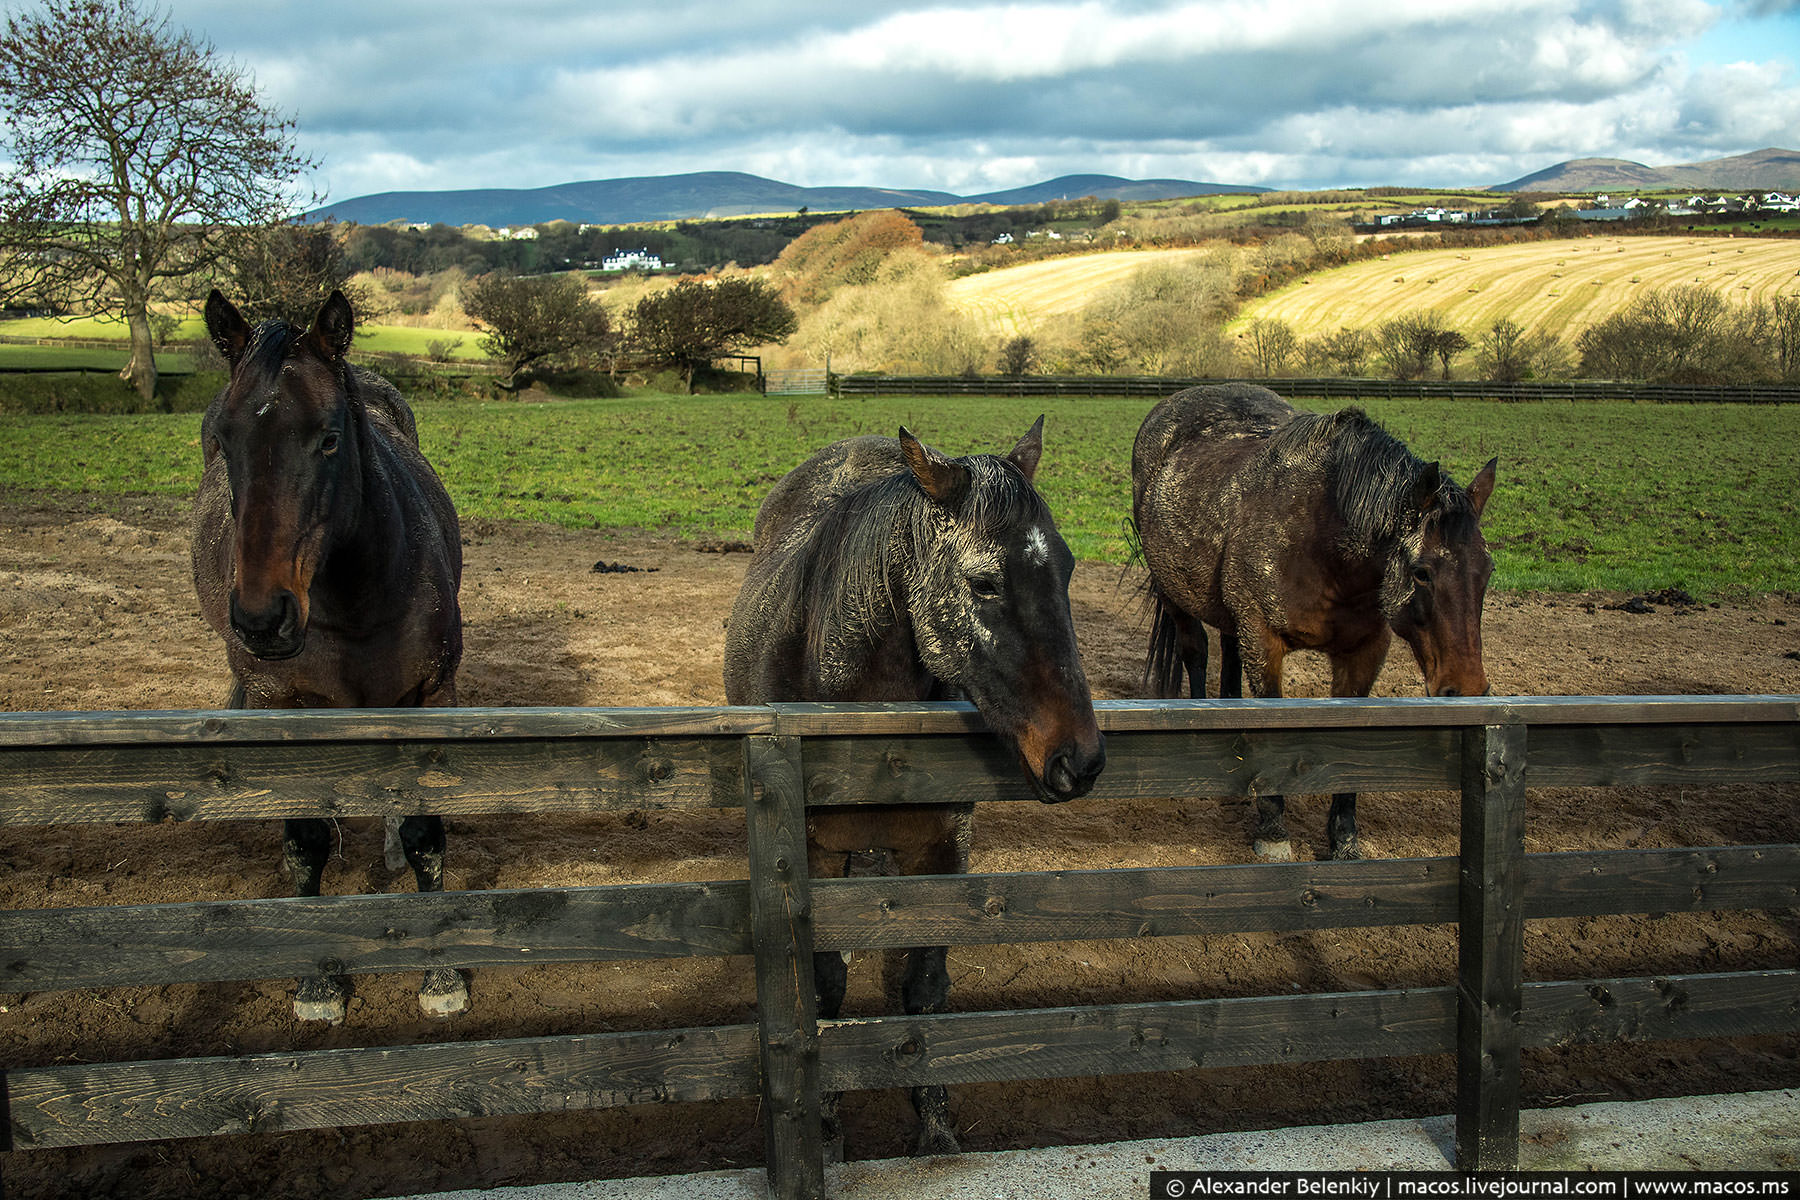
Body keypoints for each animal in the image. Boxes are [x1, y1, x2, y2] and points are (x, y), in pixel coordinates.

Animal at [190, 287, 468, 1021]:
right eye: (223, 439)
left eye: (329, 438)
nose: (262, 617)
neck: (354, 603)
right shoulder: (281, 708)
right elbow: (305, 836)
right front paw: (316, 986)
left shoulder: (430, 696)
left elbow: (426, 828)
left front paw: (442, 977)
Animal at [723, 417, 1101, 1158]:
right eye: (984, 584)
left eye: (1068, 569)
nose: (1081, 760)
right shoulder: (811, 852)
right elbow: (824, 990)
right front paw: (828, 1129)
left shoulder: (943, 847)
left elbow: (926, 986)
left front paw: (935, 1129)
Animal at [1130, 385, 1497, 863]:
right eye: (1422, 572)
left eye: (1487, 570)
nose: (1467, 688)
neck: (1324, 545)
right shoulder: (1263, 640)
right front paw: (1273, 831)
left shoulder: (1364, 652)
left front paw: (1344, 839)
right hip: (1174, 596)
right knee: (1196, 653)